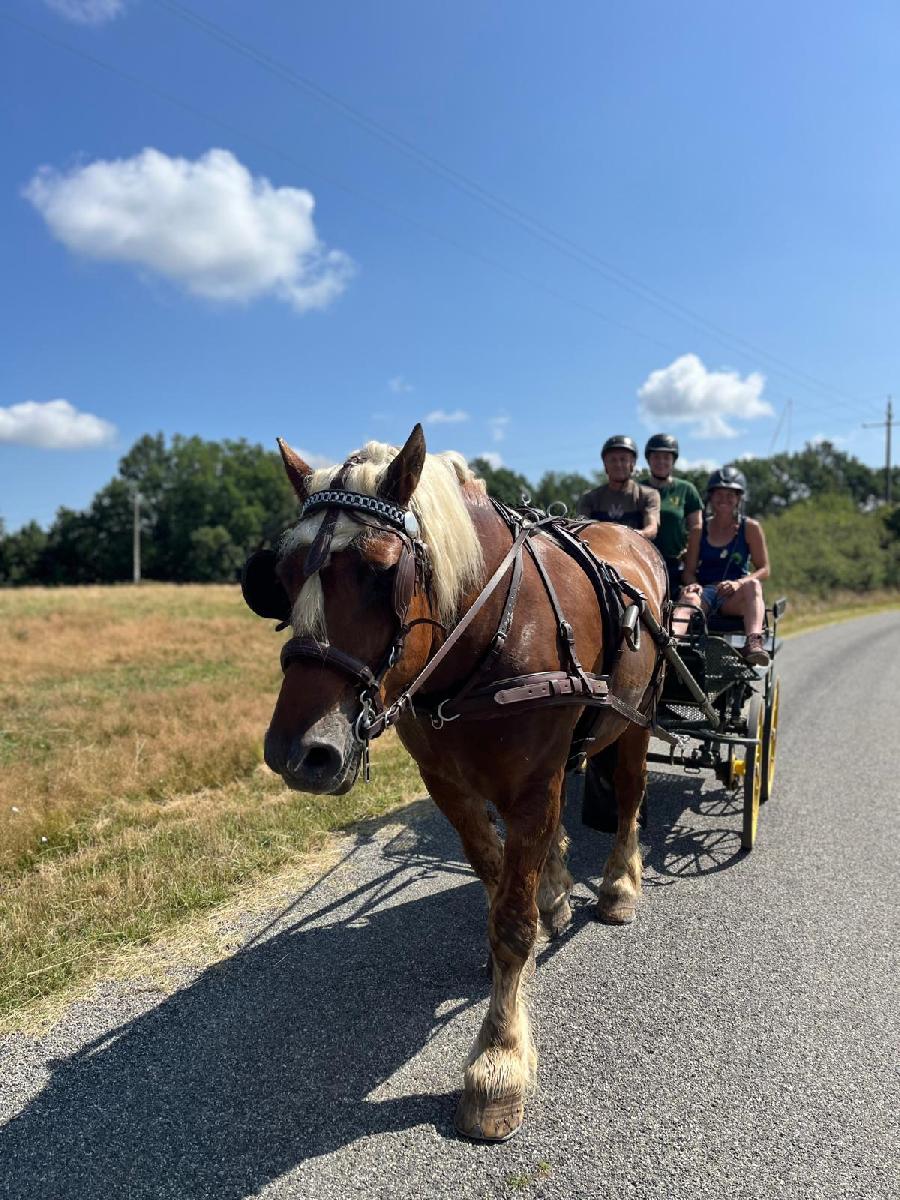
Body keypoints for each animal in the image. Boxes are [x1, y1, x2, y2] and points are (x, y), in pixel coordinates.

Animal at [243, 424, 667, 1142]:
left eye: (382, 571)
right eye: (283, 574)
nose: (299, 753)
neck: (490, 627)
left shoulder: (532, 784)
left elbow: (512, 922)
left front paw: (499, 1060)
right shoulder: (449, 784)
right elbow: (497, 880)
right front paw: (534, 920)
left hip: (635, 718)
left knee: (631, 794)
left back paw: (617, 885)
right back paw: (559, 889)